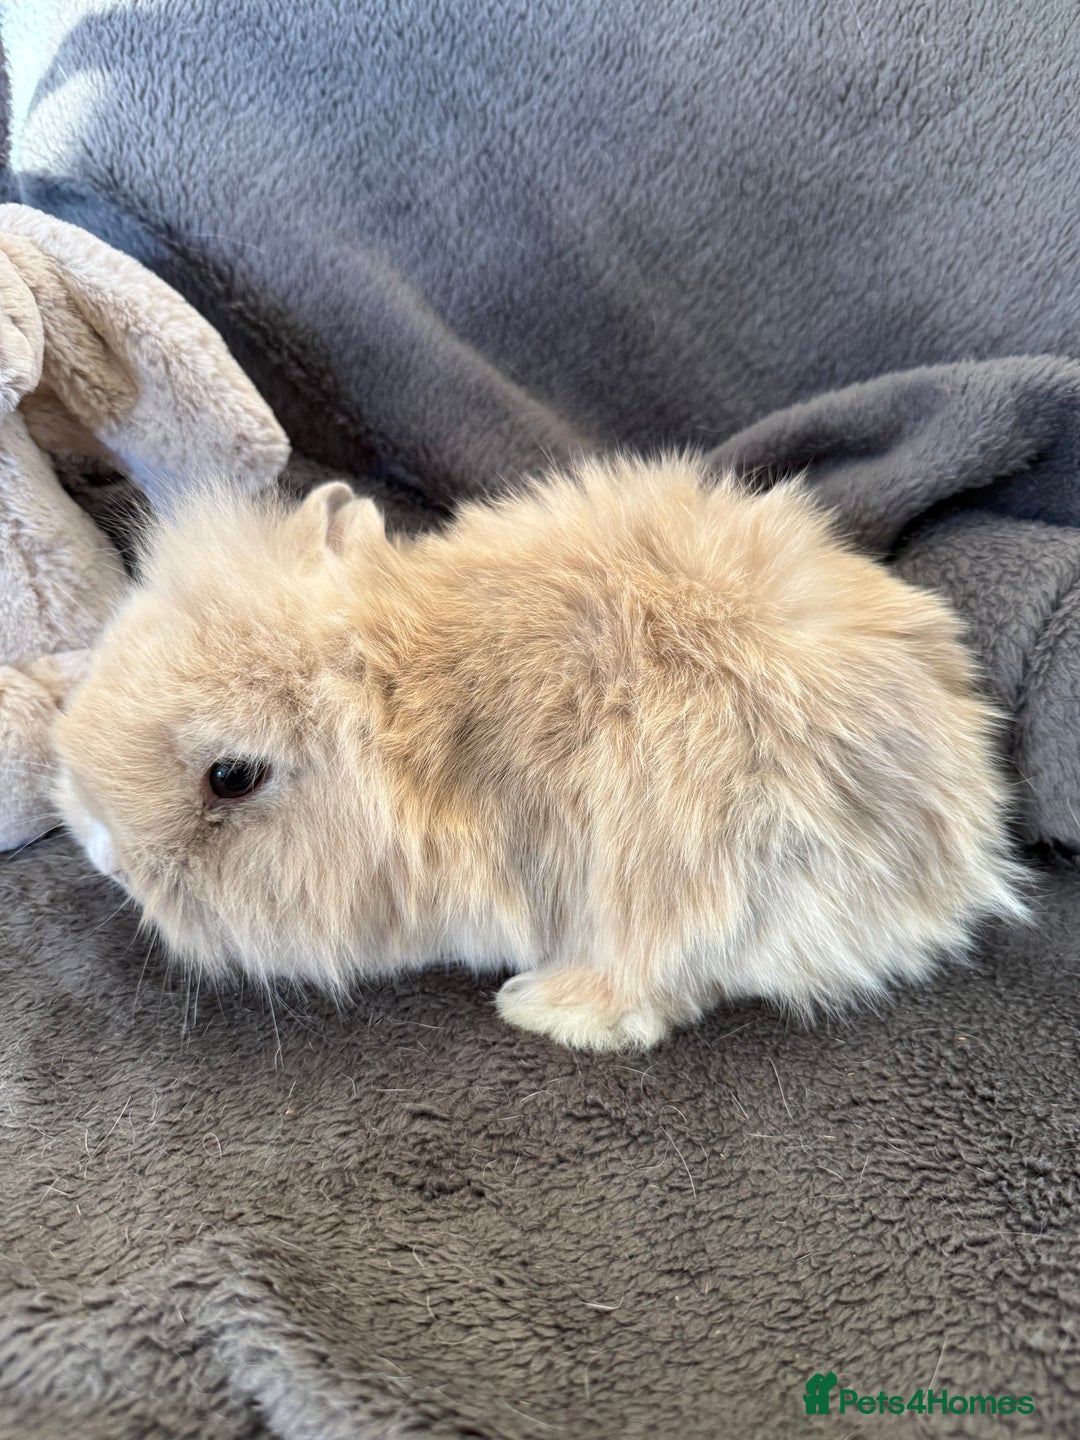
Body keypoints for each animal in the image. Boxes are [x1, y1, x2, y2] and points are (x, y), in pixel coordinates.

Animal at [53, 453, 1026, 1051]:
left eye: (231, 777)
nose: (104, 858)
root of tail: (959, 857)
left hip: (679, 872)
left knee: (662, 985)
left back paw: (541, 1004)